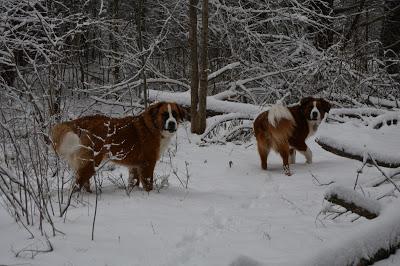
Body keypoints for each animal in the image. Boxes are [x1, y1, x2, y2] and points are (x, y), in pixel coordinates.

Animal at [50, 101, 187, 191]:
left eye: (175, 114)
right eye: (165, 115)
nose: (172, 123)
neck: (153, 126)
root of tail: (80, 121)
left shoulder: (134, 166)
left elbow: (133, 182)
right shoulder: (148, 164)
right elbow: (148, 183)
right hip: (92, 162)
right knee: (76, 185)